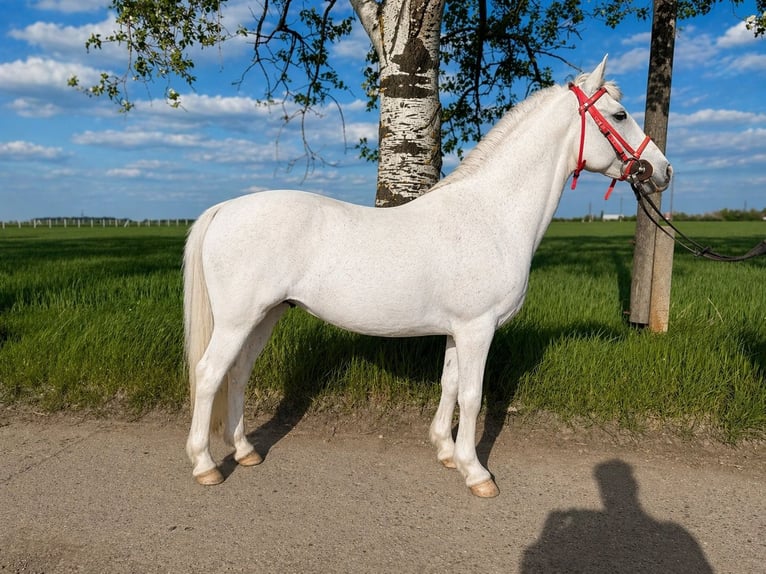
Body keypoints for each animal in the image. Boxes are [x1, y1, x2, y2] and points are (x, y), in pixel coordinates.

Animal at [183, 56, 672, 497]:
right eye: (620, 115)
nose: (664, 170)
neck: (492, 214)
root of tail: (223, 208)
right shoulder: (478, 329)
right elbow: (472, 396)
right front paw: (476, 473)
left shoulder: (459, 331)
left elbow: (450, 386)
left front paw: (446, 452)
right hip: (238, 320)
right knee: (209, 374)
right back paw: (205, 465)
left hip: (266, 316)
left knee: (238, 374)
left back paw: (245, 451)